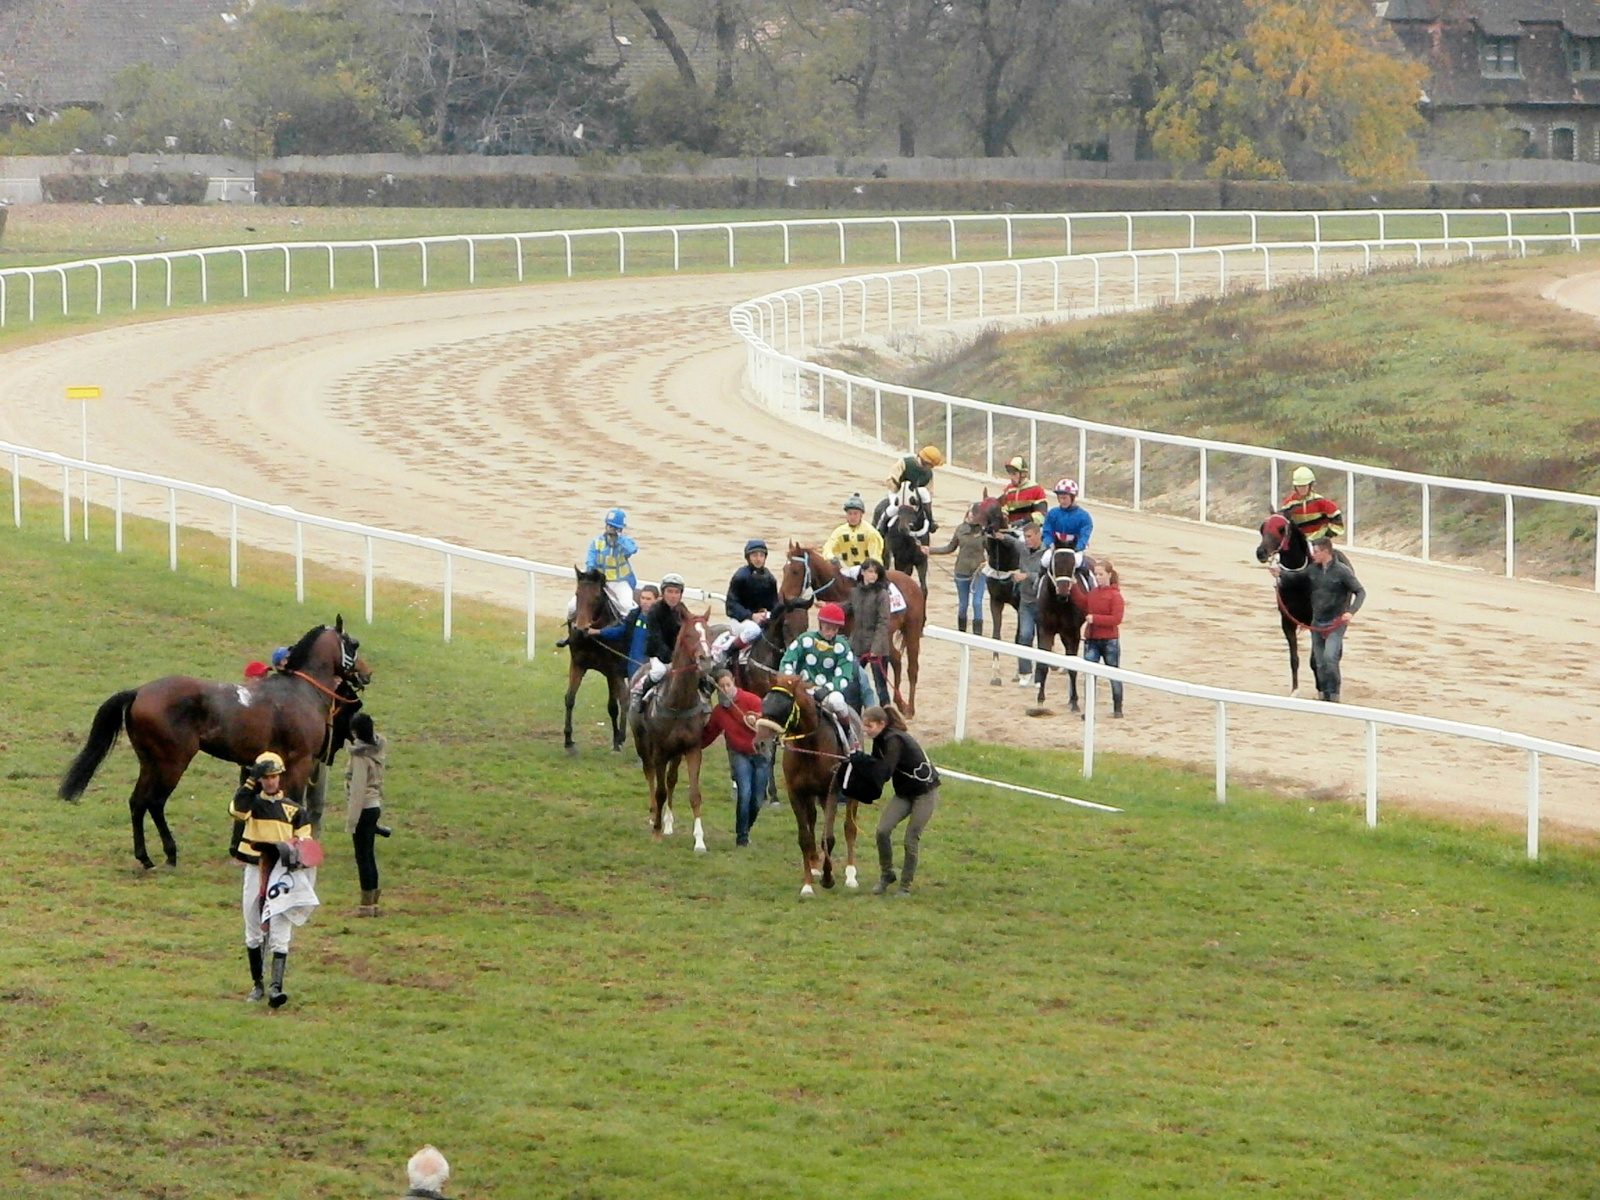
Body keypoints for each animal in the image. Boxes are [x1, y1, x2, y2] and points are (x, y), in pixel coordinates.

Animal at [58, 624, 368, 870]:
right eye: (354, 644)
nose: (367, 673)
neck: (300, 692)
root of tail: (139, 691)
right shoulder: (300, 762)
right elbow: (293, 802)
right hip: (173, 762)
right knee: (154, 802)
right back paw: (170, 853)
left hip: (149, 762)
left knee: (137, 802)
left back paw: (145, 857)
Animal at [627, 604, 716, 851]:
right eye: (689, 635)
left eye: (709, 633)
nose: (706, 659)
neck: (678, 702)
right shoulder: (660, 751)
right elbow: (659, 791)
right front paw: (656, 832)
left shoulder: (692, 749)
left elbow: (693, 794)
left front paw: (699, 840)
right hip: (642, 742)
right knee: (650, 774)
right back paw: (654, 816)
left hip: (676, 753)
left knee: (671, 780)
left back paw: (667, 822)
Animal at [752, 681, 857, 896]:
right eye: (764, 704)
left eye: (782, 708)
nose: (760, 743)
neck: (810, 747)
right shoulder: (797, 794)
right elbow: (805, 838)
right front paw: (808, 884)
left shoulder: (829, 793)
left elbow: (828, 838)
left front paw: (828, 878)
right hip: (811, 796)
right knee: (812, 819)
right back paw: (815, 865)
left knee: (849, 828)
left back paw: (851, 875)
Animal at [777, 550, 928, 720]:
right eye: (784, 569)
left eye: (795, 571)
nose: (782, 596)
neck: (841, 591)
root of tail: (912, 583)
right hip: (886, 635)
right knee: (896, 659)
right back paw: (899, 703)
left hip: (911, 630)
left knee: (912, 668)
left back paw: (909, 709)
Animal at [1260, 515, 1350, 694]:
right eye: (1262, 528)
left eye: (1281, 529)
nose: (1260, 552)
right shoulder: (1287, 621)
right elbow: (1294, 658)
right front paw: (1295, 689)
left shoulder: (1314, 622)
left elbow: (1316, 659)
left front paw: (1321, 689)